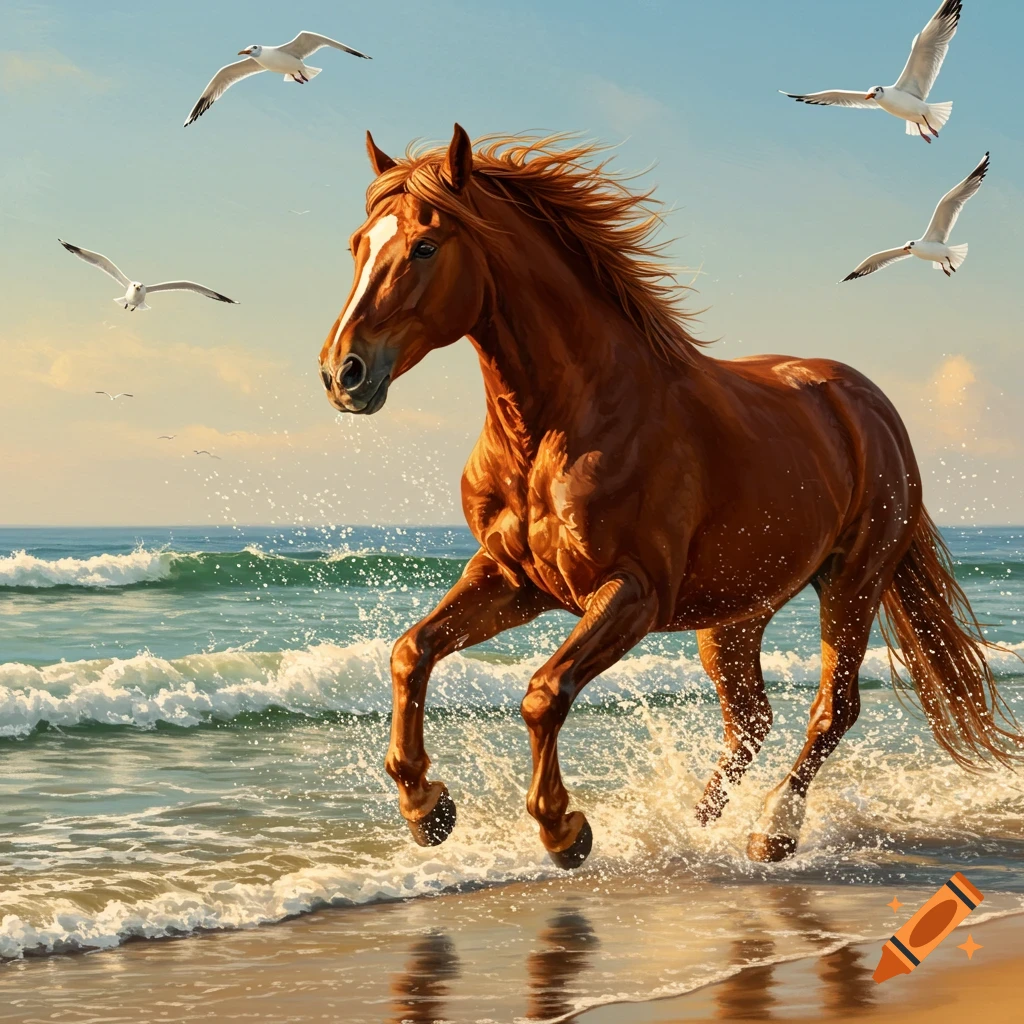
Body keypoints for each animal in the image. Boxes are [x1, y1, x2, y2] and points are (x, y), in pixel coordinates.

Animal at [318, 124, 1021, 869]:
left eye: (425, 245)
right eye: (358, 245)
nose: (343, 373)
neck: (565, 423)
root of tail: (868, 404)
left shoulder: (633, 592)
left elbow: (544, 693)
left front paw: (564, 829)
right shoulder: (513, 579)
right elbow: (411, 652)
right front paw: (427, 809)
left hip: (853, 580)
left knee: (833, 709)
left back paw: (772, 830)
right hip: (736, 610)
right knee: (751, 718)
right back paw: (696, 823)